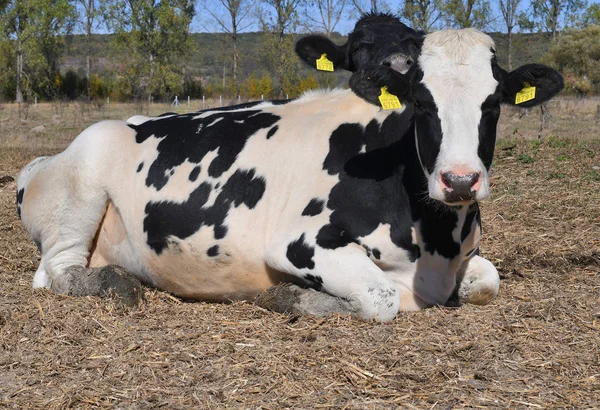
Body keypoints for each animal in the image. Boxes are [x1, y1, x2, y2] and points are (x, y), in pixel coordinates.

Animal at [16, 29, 564, 324]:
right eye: (422, 103)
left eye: (492, 104)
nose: (460, 181)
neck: (434, 239)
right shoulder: (299, 243)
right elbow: (382, 298)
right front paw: (289, 297)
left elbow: (489, 279)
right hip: (80, 196)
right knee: (56, 273)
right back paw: (115, 284)